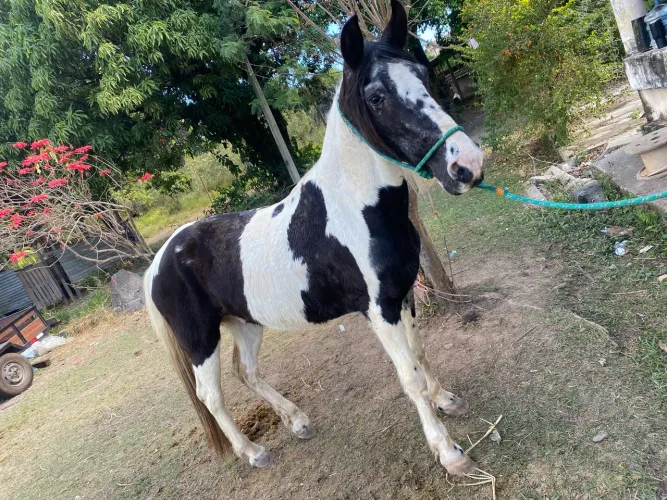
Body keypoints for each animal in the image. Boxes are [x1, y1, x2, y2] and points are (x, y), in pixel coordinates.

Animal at [144, 0, 484, 477]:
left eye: (423, 73)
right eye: (376, 96)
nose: (466, 165)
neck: (355, 206)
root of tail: (159, 261)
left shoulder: (403, 294)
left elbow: (419, 353)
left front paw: (446, 400)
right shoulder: (380, 310)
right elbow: (409, 377)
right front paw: (449, 451)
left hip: (245, 322)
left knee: (246, 373)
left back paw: (297, 421)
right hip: (201, 340)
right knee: (210, 396)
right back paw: (253, 452)